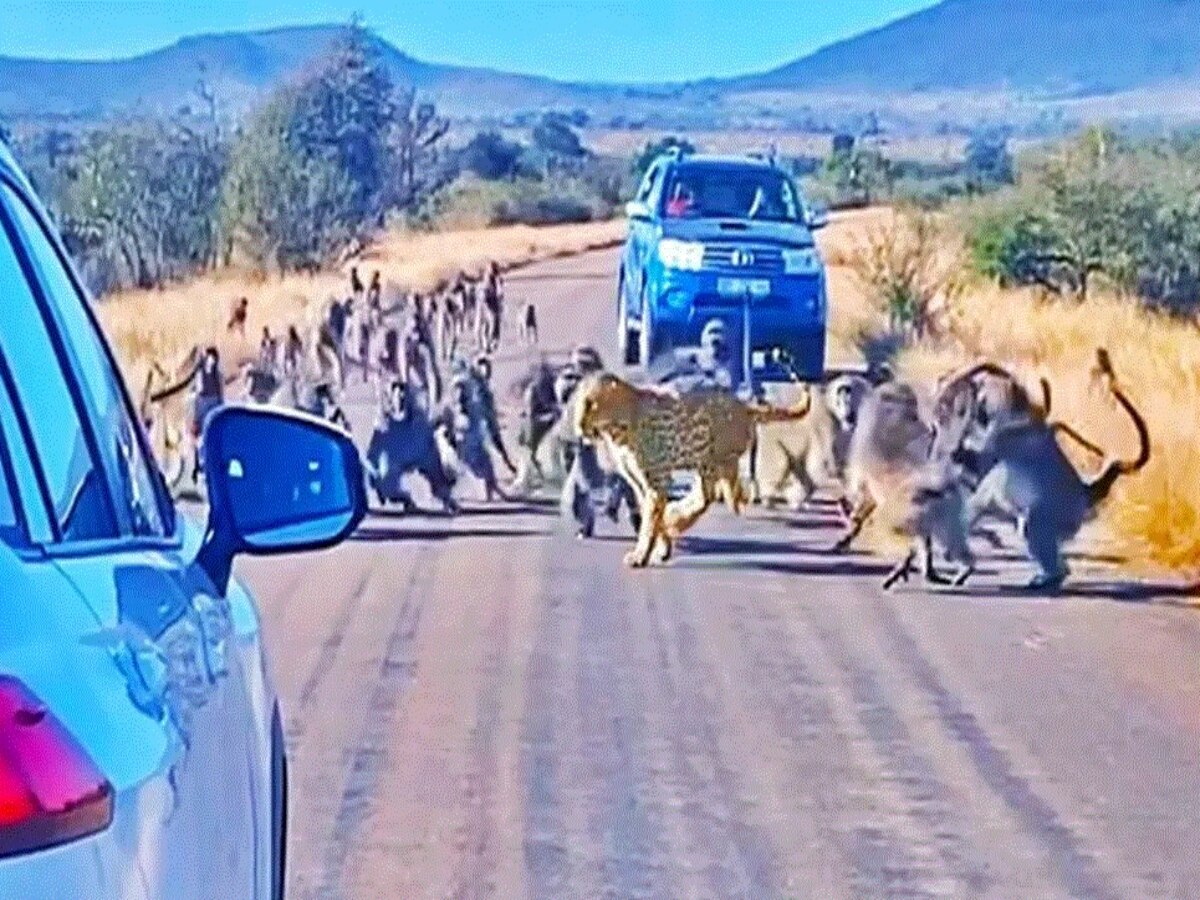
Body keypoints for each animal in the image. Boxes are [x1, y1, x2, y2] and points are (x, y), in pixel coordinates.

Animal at [573, 374, 816, 571]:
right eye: (578, 404)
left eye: (591, 404)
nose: (578, 426)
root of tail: (742, 405)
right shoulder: (641, 483)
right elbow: (651, 516)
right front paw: (662, 545)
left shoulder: (657, 480)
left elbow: (649, 521)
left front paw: (640, 555)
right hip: (705, 464)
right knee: (707, 495)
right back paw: (677, 515)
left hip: (716, 460)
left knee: (725, 491)